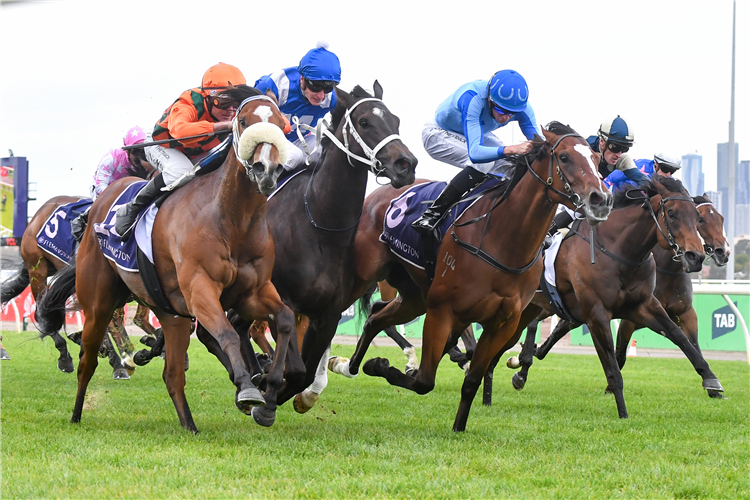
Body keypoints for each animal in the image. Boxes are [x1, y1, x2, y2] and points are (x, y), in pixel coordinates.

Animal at [34, 91, 300, 434]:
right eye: (243, 121)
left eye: (281, 124)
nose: (266, 169)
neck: (231, 219)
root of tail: (98, 206)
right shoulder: (200, 289)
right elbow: (227, 333)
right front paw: (247, 388)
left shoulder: (252, 293)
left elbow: (284, 319)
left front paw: (269, 397)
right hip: (98, 303)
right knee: (87, 361)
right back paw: (78, 412)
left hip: (170, 312)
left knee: (172, 374)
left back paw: (190, 426)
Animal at [197, 82, 420, 412]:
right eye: (364, 122)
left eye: (396, 121)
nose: (406, 164)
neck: (319, 228)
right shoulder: (284, 303)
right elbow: (297, 369)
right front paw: (266, 390)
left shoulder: (327, 315)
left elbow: (306, 371)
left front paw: (280, 391)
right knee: (216, 329)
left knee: (235, 326)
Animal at [336, 121, 616, 430]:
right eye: (564, 157)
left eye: (595, 159)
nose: (601, 199)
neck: (503, 240)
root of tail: (376, 197)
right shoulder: (442, 310)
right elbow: (424, 381)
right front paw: (380, 365)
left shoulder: (503, 323)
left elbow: (471, 380)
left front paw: (458, 427)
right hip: (366, 278)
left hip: (414, 297)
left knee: (375, 316)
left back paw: (348, 365)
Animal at [508, 174, 724, 416]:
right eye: (671, 213)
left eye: (696, 217)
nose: (696, 256)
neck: (620, 252)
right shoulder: (598, 315)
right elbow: (614, 363)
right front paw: (621, 409)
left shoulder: (646, 307)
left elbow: (681, 338)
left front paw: (711, 380)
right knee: (532, 325)